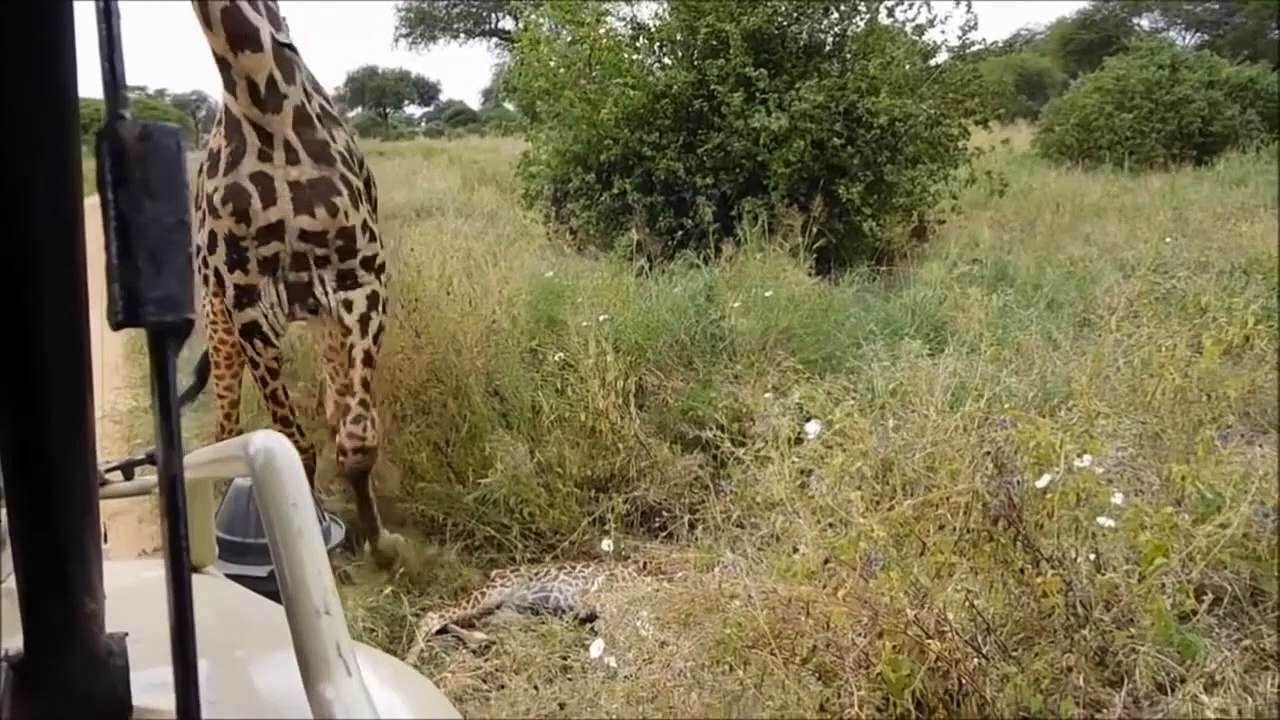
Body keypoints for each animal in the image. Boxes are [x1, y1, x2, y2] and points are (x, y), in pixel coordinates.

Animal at [183, 0, 405, 567]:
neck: (259, 94)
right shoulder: (246, 303)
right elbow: (295, 445)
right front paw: (307, 537)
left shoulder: (359, 279)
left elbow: (355, 438)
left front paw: (382, 544)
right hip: (218, 318)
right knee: (225, 423)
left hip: (325, 320)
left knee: (336, 408)